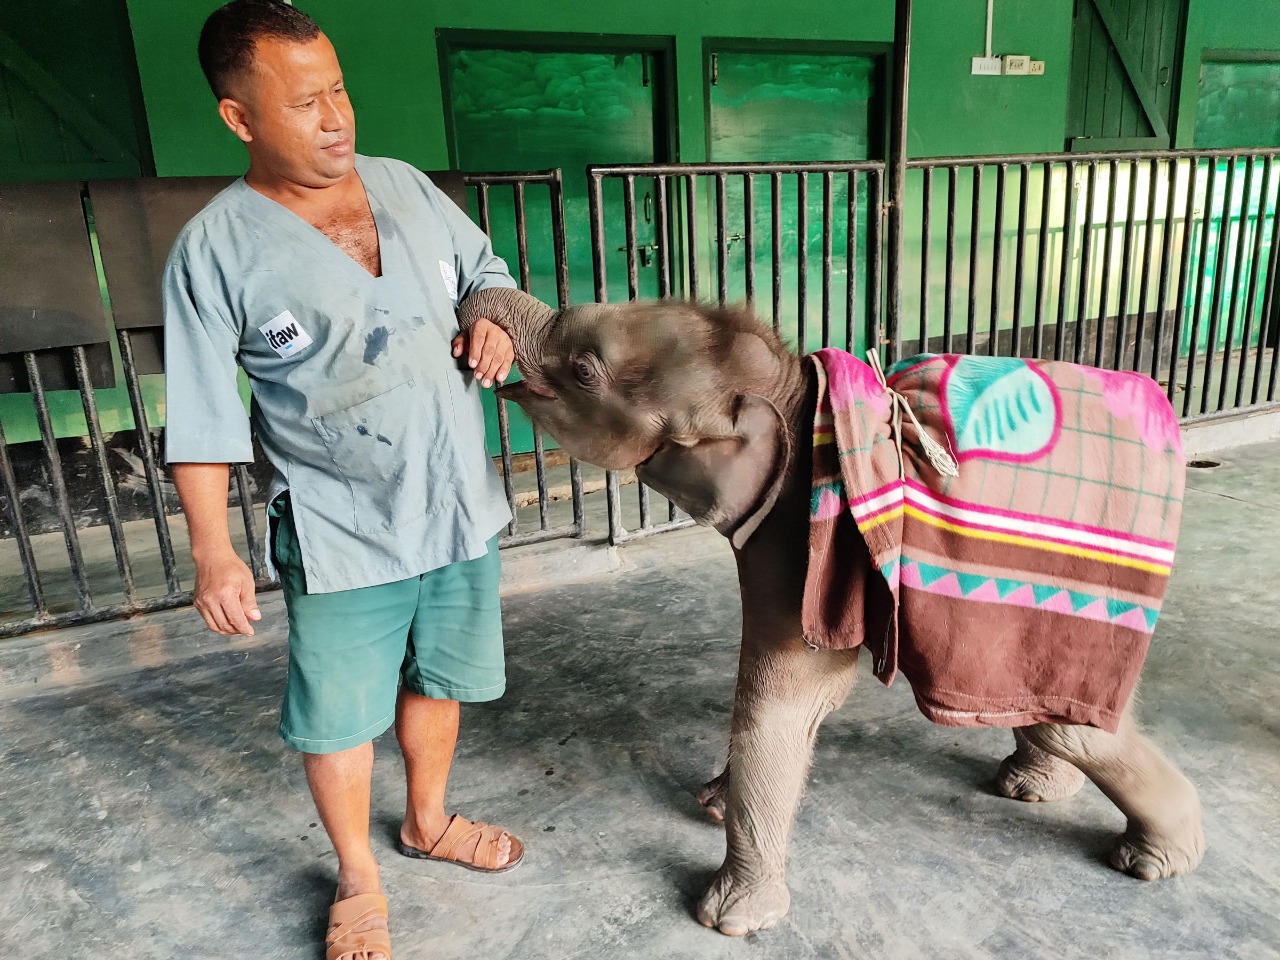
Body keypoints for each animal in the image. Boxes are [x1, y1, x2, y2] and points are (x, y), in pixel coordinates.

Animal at [460, 289, 1198, 936]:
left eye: (585, 371)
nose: (476, 352)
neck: (789, 390)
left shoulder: (801, 533)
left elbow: (778, 701)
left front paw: (728, 919)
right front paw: (713, 801)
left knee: (1072, 726)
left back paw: (1154, 861)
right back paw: (1032, 787)